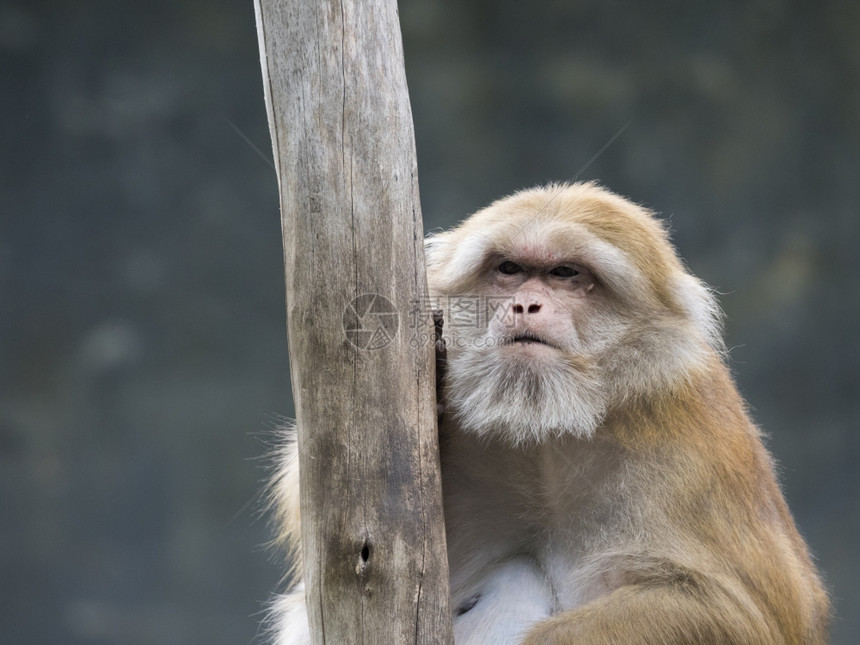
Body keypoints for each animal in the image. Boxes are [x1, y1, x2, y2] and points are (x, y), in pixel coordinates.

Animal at [268, 181, 828, 644]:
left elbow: (739, 615)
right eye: (510, 270)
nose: (525, 305)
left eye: (565, 274)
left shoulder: (690, 444)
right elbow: (345, 554)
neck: (548, 428)